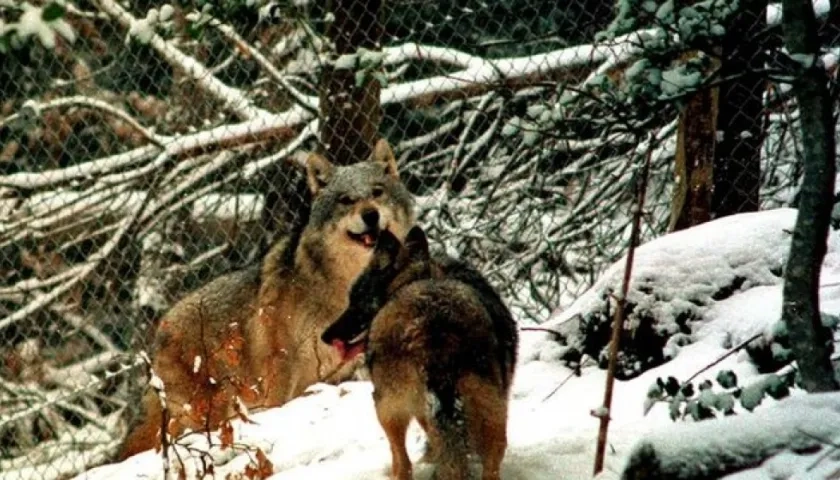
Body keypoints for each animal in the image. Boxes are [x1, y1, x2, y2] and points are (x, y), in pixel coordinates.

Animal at [117, 139, 415, 460]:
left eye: (377, 192)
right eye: (346, 200)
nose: (370, 214)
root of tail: (160, 328)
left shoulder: (338, 370)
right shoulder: (281, 365)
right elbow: (280, 406)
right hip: (210, 409)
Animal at [321, 226, 518, 480]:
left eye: (356, 300)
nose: (325, 336)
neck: (418, 276)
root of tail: (432, 321)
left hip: (386, 408)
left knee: (402, 462)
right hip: (494, 415)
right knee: (488, 462)